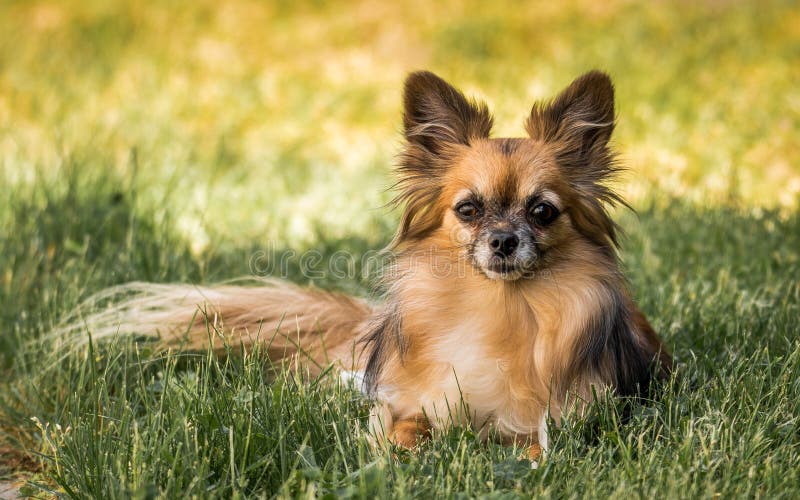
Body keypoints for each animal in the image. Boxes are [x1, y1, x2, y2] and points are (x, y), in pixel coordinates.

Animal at [56, 69, 672, 458]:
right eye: (469, 210)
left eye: (542, 211)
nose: (502, 241)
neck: (496, 307)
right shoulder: (407, 400)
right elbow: (399, 426)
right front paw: (400, 453)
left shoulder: (563, 421)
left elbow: (533, 448)